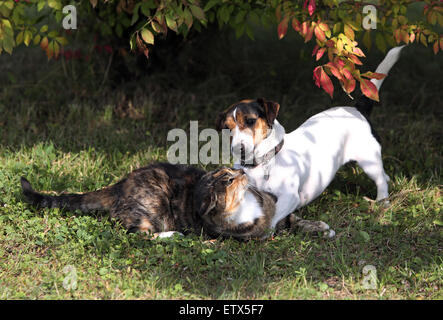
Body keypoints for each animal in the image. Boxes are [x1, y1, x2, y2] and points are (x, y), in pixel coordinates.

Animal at [21, 162, 332, 240]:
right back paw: (172, 235)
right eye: (228, 180)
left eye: (231, 170)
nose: (242, 171)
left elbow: (293, 217)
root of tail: (119, 185)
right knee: (137, 234)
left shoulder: (274, 206)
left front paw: (321, 227)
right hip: (149, 210)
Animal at [216, 45, 406, 235]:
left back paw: (383, 202)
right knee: (384, 176)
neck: (264, 162)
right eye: (227, 128)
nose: (237, 148)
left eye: (250, 121)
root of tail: (358, 109)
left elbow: (273, 215)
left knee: (380, 180)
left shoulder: (290, 197)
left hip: (368, 161)